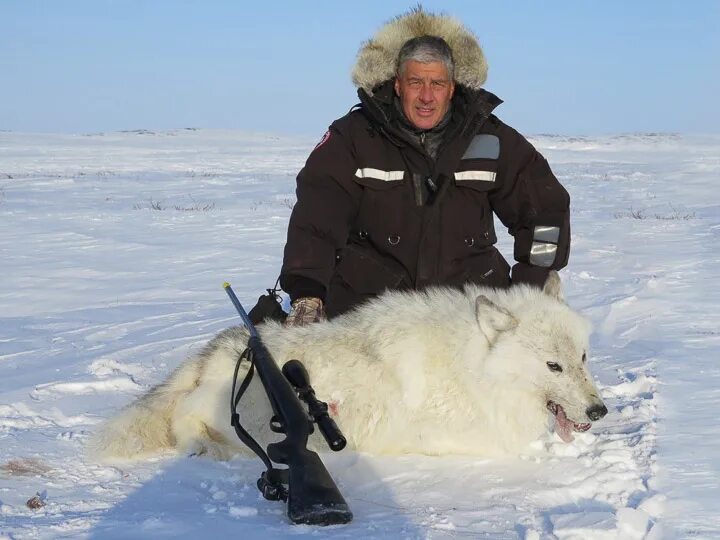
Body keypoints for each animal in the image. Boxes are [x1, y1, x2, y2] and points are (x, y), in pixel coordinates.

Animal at [90, 272, 608, 462]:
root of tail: (214, 348)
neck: (476, 367)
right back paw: (208, 448)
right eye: (553, 366)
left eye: (582, 358)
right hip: (231, 412)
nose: (599, 411)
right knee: (185, 420)